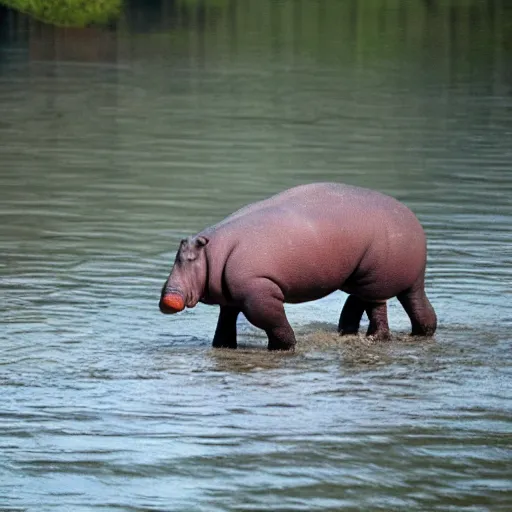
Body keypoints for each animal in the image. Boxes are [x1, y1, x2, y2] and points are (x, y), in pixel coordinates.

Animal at [159, 183, 436, 352]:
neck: (212, 251)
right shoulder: (230, 299)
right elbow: (225, 326)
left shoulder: (260, 295)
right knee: (385, 306)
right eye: (178, 252)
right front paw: (221, 347)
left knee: (378, 311)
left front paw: (286, 347)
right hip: (365, 278)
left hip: (377, 279)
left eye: (190, 257)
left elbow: (273, 322)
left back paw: (374, 337)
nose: (166, 298)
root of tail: (412, 220)